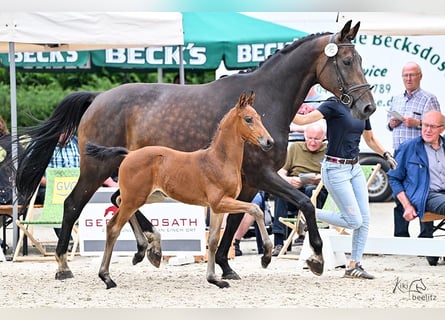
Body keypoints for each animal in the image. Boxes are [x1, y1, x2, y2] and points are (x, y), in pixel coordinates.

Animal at [82, 92, 272, 288]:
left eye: (259, 117)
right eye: (248, 119)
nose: (268, 142)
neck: (219, 160)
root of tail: (129, 154)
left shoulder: (218, 207)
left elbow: (212, 240)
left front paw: (214, 279)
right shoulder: (220, 202)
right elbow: (256, 209)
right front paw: (266, 257)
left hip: (148, 196)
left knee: (119, 201)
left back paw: (144, 251)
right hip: (136, 198)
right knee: (113, 227)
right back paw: (107, 277)